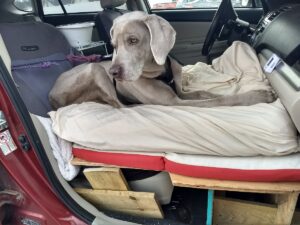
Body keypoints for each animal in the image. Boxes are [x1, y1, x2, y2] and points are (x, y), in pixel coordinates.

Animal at [48, 11, 274, 110]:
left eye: (133, 40)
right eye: (113, 45)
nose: (113, 72)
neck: (161, 72)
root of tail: (51, 95)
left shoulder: (181, 93)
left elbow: (208, 93)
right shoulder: (176, 103)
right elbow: (219, 100)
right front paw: (258, 95)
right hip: (94, 69)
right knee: (119, 105)